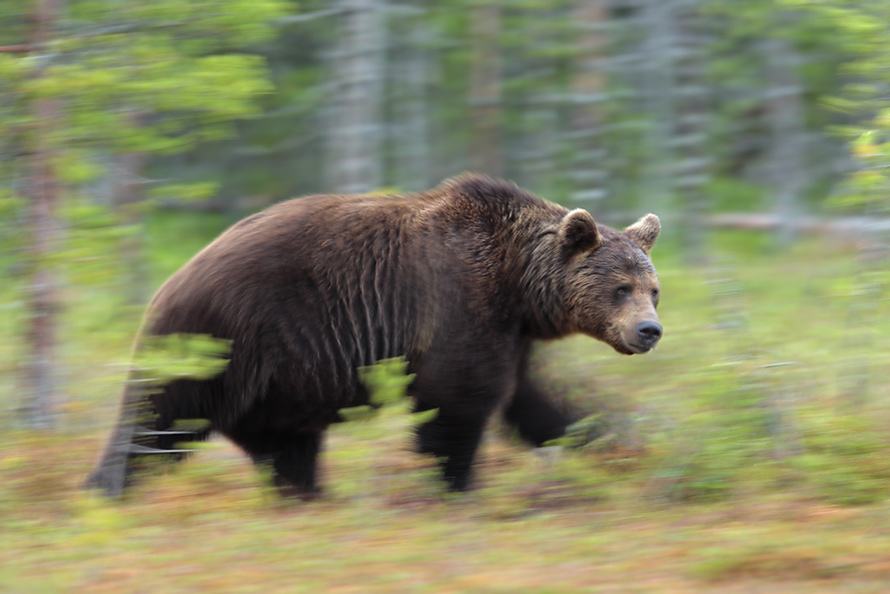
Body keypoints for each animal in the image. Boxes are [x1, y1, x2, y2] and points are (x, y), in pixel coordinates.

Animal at [86, 175, 660, 494]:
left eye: (653, 289)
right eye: (620, 288)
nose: (649, 330)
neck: (519, 282)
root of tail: (170, 281)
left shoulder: (507, 331)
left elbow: (530, 399)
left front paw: (607, 440)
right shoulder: (458, 301)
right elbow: (458, 400)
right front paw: (456, 482)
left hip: (279, 380)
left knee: (284, 444)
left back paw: (306, 494)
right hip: (223, 338)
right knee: (156, 421)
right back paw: (105, 487)